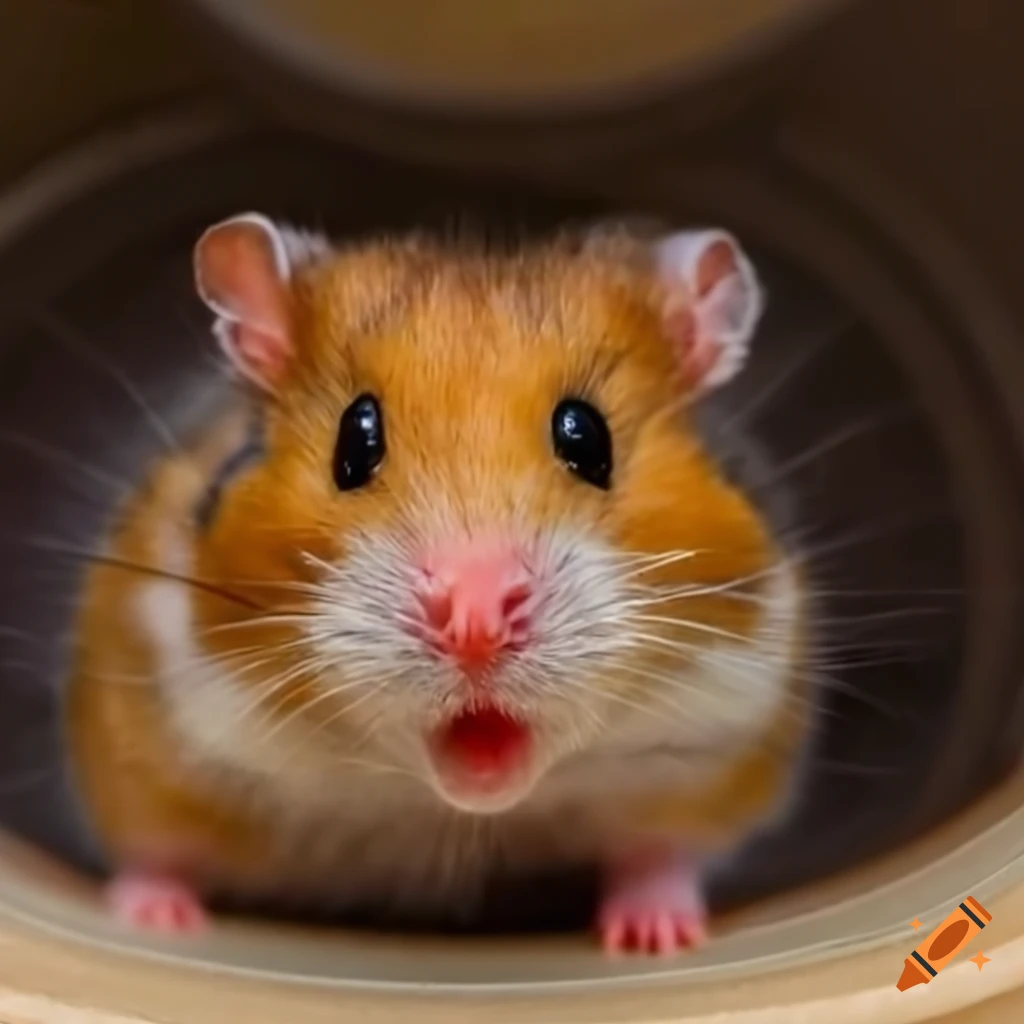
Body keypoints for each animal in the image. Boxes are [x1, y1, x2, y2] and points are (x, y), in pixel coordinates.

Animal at [66, 214, 808, 954]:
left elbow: (661, 856)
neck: (457, 811)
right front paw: (154, 922)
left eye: (587, 437)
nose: (475, 624)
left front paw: (657, 939)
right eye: (355, 440)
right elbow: (157, 853)